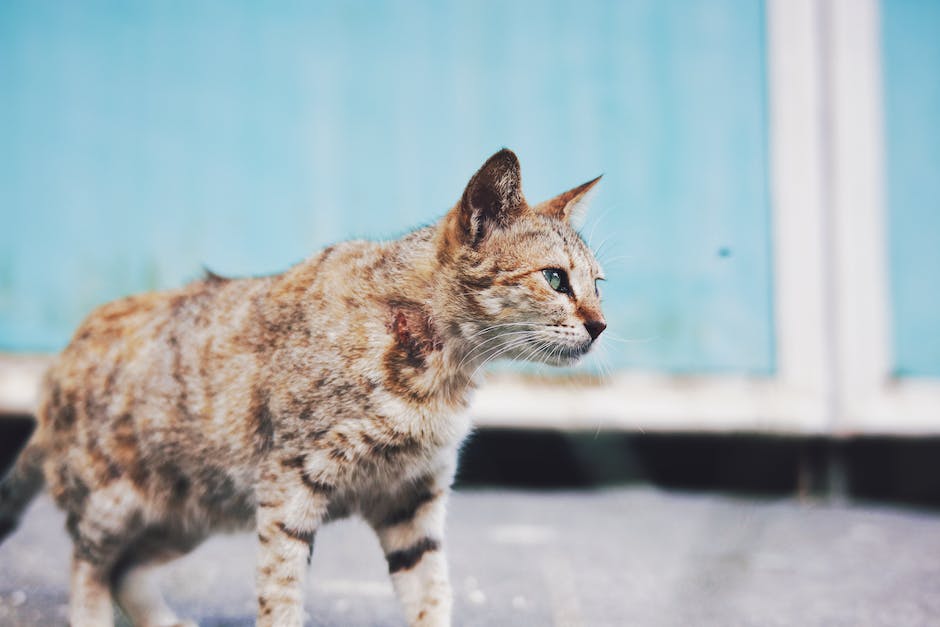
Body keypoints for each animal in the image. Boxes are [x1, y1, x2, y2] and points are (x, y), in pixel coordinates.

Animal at [0, 148, 604, 627]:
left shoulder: (413, 500)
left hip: (191, 512)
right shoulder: (289, 483)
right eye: (555, 278)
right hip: (114, 502)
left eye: (598, 284)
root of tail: (56, 366)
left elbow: (431, 592)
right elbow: (281, 589)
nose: (601, 324)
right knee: (89, 563)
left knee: (125, 568)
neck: (441, 369)